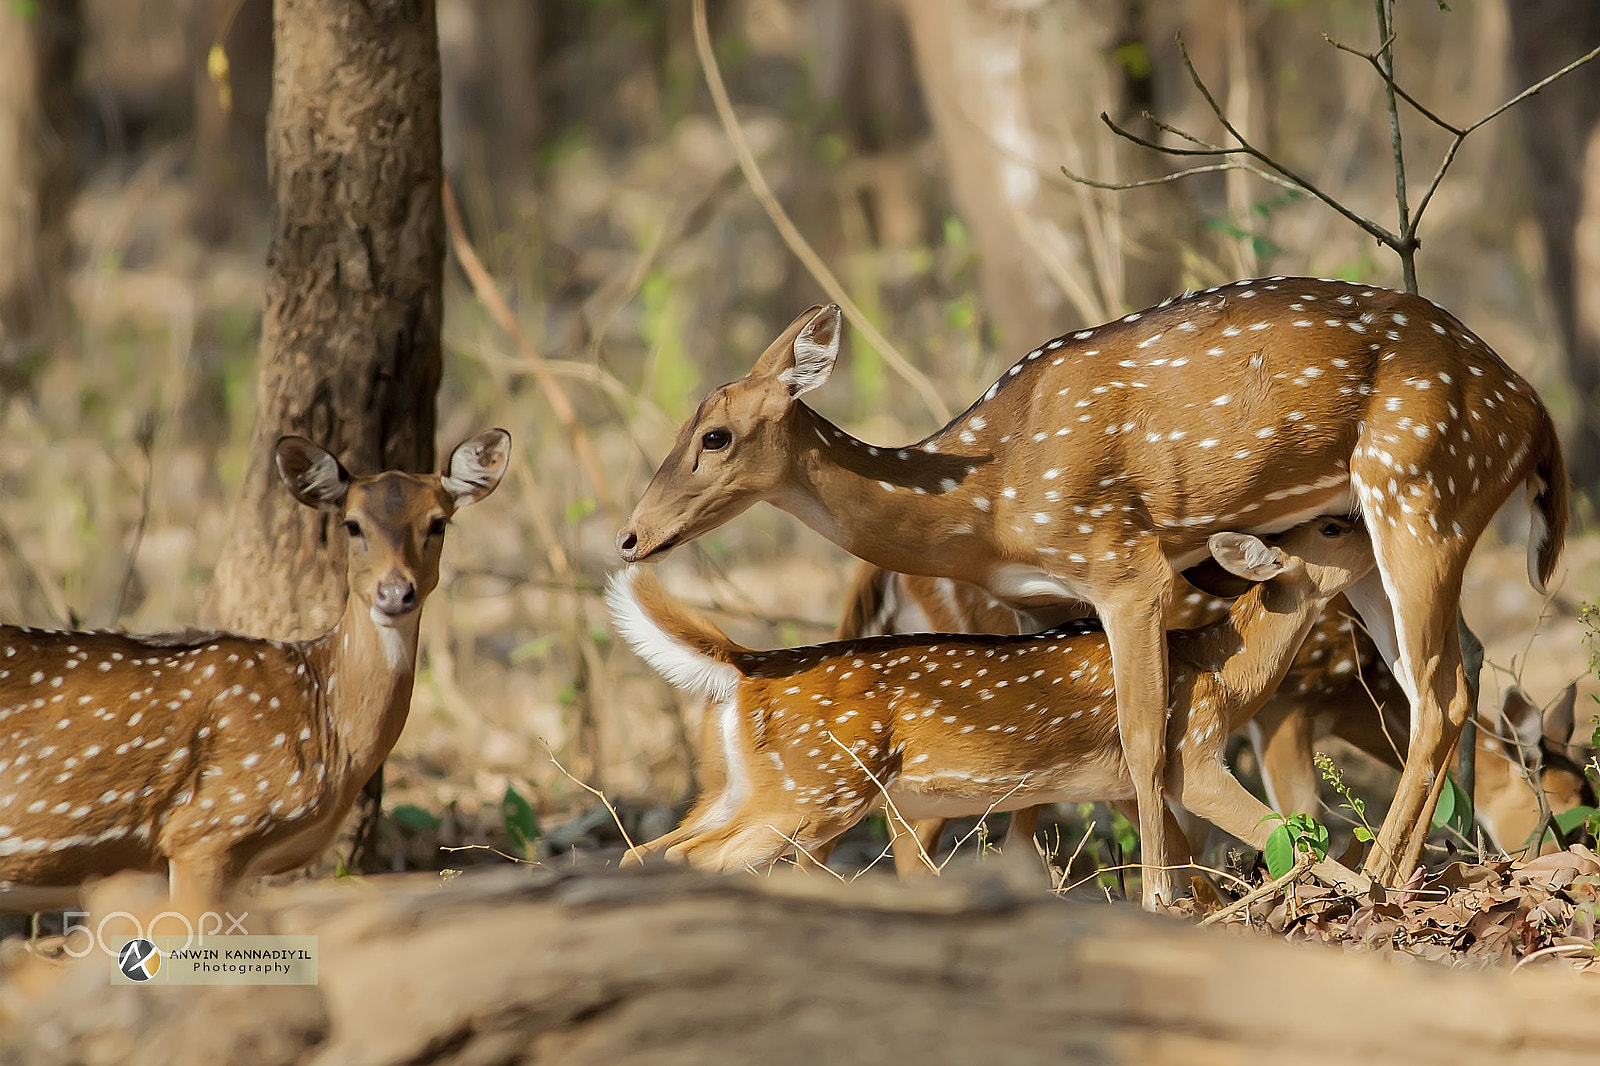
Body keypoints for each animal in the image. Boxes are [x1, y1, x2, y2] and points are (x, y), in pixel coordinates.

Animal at [611, 518, 1388, 883]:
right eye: (1331, 527)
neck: (1222, 676)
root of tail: (744, 665)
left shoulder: (1126, 782)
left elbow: (1188, 861)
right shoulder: (1189, 755)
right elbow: (1288, 836)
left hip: (736, 789)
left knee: (643, 851)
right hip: (812, 791)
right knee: (688, 859)